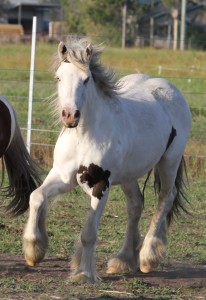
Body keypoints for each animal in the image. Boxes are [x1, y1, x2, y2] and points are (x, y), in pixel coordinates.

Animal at [23, 38, 192, 284]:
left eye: (86, 79)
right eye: (58, 77)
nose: (70, 116)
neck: (83, 135)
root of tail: (168, 87)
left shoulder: (101, 183)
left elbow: (88, 233)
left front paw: (83, 274)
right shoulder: (62, 176)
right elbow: (36, 197)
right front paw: (34, 250)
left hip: (169, 161)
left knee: (165, 199)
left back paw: (148, 256)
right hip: (130, 174)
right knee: (135, 205)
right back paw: (123, 260)